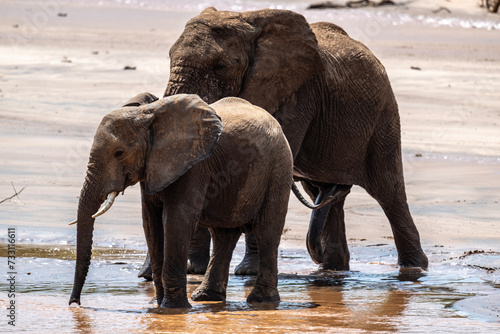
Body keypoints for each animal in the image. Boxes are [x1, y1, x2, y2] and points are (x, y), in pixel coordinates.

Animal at [67, 93, 292, 308]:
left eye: (119, 153)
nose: (75, 303)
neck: (147, 114)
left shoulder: (193, 166)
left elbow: (177, 220)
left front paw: (172, 308)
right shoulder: (153, 167)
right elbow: (151, 223)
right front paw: (159, 305)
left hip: (278, 170)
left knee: (266, 232)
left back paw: (261, 301)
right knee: (223, 236)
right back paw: (205, 297)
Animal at [158, 7, 428, 274]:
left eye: (220, 67)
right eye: (169, 57)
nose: (193, 269)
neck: (248, 21)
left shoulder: (298, 94)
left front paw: (248, 272)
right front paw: (198, 269)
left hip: (383, 118)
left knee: (389, 190)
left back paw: (414, 269)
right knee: (323, 194)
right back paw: (332, 269)